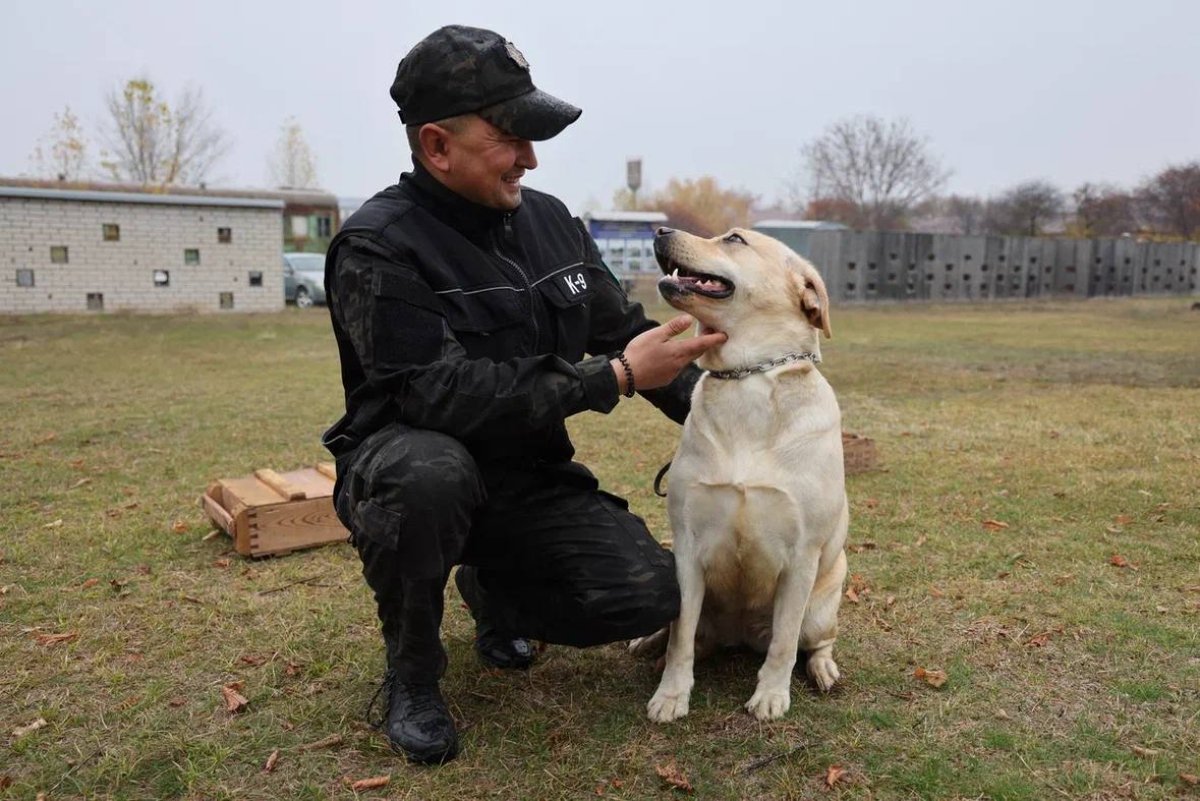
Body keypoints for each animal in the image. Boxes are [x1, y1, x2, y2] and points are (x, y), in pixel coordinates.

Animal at [643, 224, 849, 719]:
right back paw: (647, 643)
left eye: (734, 239)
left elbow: (784, 643)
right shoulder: (686, 546)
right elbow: (681, 637)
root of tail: (736, 637)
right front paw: (671, 694)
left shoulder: (801, 556)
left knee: (813, 641)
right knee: (683, 634)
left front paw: (771, 694)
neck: (749, 377)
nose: (660, 229)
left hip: (823, 604)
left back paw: (822, 669)